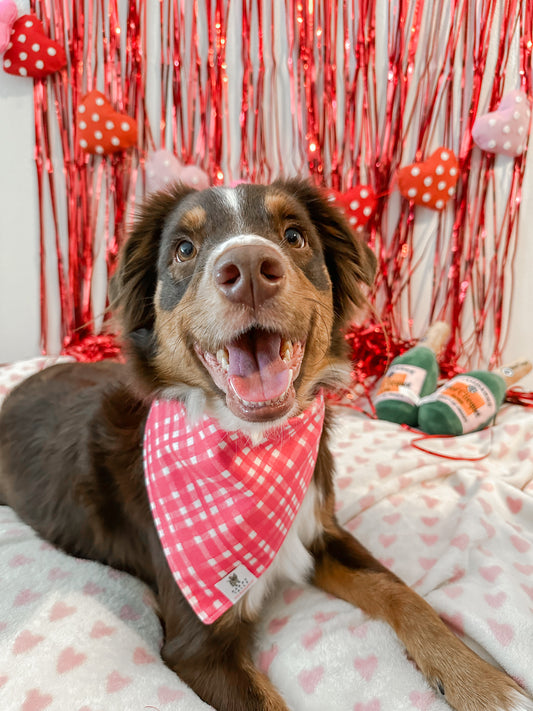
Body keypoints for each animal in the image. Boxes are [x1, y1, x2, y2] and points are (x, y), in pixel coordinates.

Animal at [0, 179, 528, 711]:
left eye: (294, 236)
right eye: (184, 249)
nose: (250, 268)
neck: (255, 447)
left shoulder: (319, 531)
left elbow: (404, 593)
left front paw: (480, 680)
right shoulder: (197, 645)